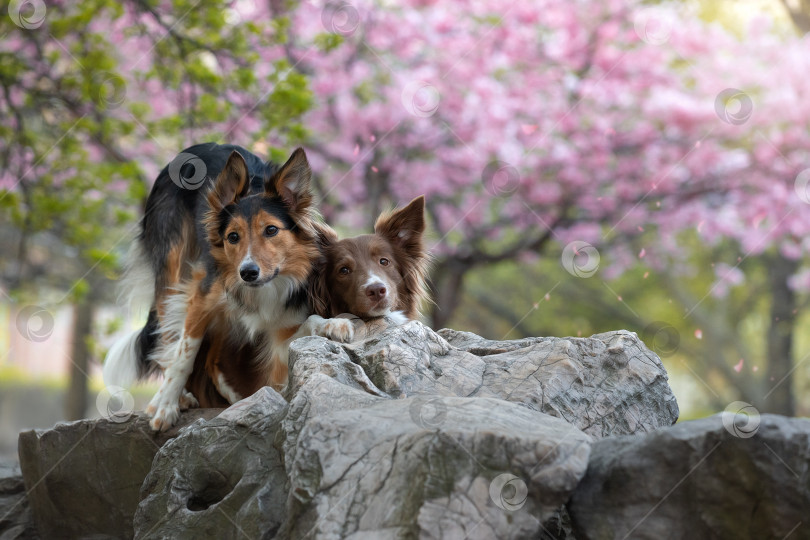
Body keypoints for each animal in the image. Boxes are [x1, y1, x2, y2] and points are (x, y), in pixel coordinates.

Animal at [103, 143, 350, 430]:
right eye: (233, 236)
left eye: (271, 230)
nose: (247, 273)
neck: (259, 289)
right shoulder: (201, 297)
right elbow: (184, 355)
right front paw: (165, 405)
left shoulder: (279, 330)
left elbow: (307, 324)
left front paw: (334, 324)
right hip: (172, 267)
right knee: (168, 333)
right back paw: (180, 396)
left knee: (212, 359)